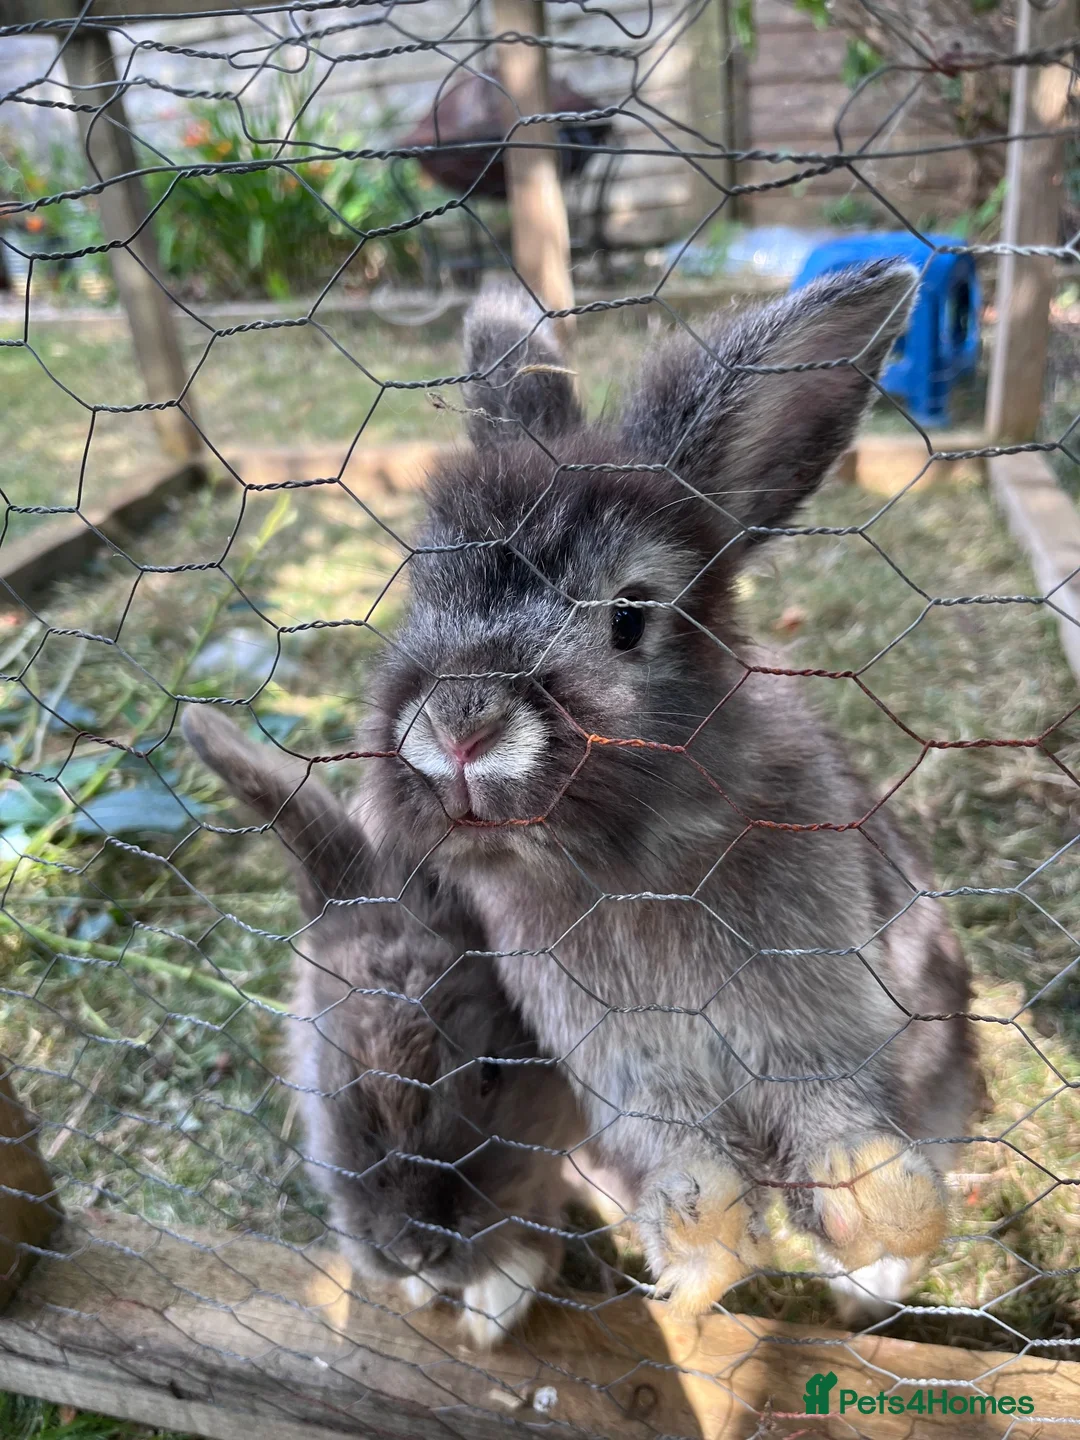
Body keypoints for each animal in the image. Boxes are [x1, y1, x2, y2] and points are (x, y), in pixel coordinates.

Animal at [356, 264, 983, 1325]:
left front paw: (882, 1214)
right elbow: (692, 1166)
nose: (460, 730)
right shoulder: (631, 1072)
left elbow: (838, 1114)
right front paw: (697, 1271)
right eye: (420, 593)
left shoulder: (818, 1016)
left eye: (629, 616)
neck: (637, 864)